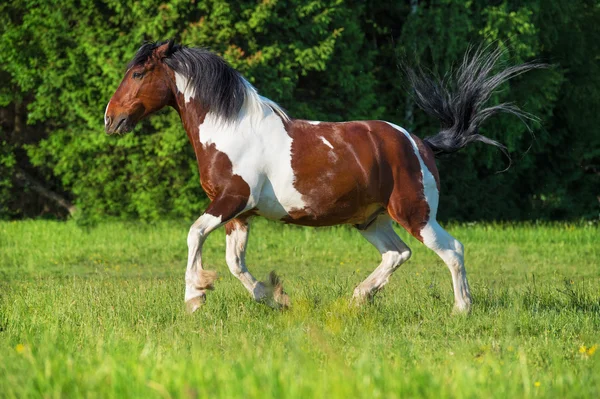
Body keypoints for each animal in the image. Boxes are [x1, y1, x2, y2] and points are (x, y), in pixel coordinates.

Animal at [103, 41, 540, 316]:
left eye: (138, 72)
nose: (111, 118)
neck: (230, 130)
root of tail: (420, 143)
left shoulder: (231, 201)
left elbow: (195, 234)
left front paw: (194, 298)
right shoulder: (239, 214)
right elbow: (234, 262)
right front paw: (274, 298)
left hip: (416, 214)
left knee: (452, 250)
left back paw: (461, 309)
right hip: (370, 219)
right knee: (397, 254)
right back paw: (357, 300)